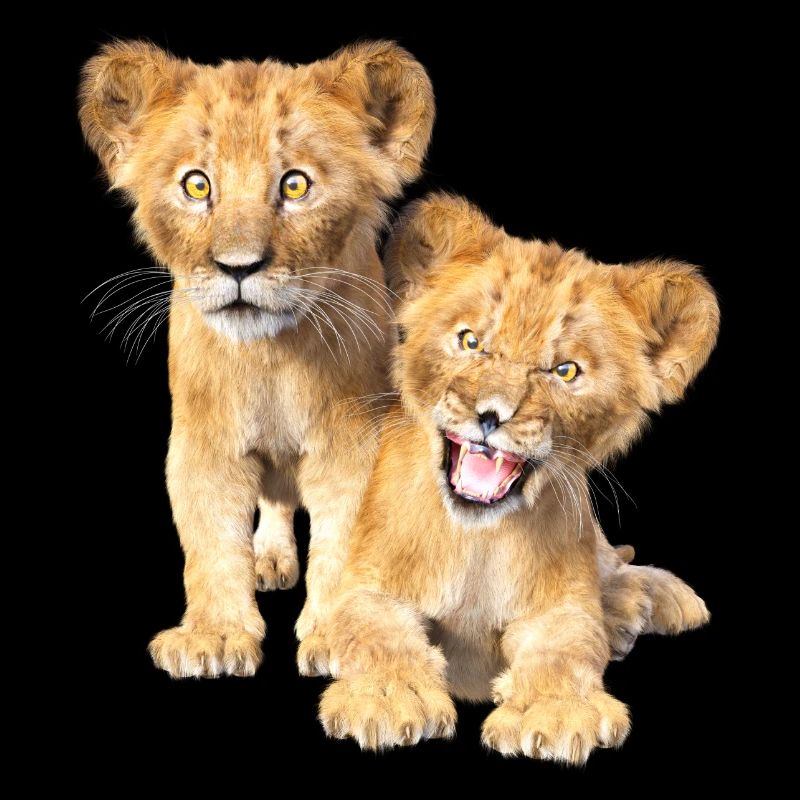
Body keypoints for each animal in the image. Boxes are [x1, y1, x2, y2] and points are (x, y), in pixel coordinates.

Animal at [79, 40, 435, 677]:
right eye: (198, 186)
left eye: (294, 186)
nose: (238, 267)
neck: (271, 358)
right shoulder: (204, 442)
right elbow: (212, 539)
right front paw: (214, 637)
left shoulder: (354, 441)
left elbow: (346, 535)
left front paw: (340, 638)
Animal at [298, 194, 718, 763]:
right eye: (471, 341)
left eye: (565, 371)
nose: (491, 415)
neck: (479, 541)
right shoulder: (369, 584)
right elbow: (374, 632)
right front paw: (387, 699)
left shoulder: (560, 606)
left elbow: (566, 648)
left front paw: (556, 713)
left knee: (612, 563)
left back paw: (640, 604)